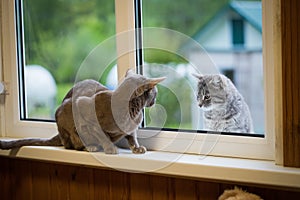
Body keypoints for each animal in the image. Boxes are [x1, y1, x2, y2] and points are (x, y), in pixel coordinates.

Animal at [0, 69, 166, 154]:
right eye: (155, 93)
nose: (156, 100)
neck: (133, 113)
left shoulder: (132, 129)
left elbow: (132, 137)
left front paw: (137, 148)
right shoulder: (83, 106)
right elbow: (102, 134)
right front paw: (109, 148)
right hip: (65, 113)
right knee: (70, 144)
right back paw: (89, 147)